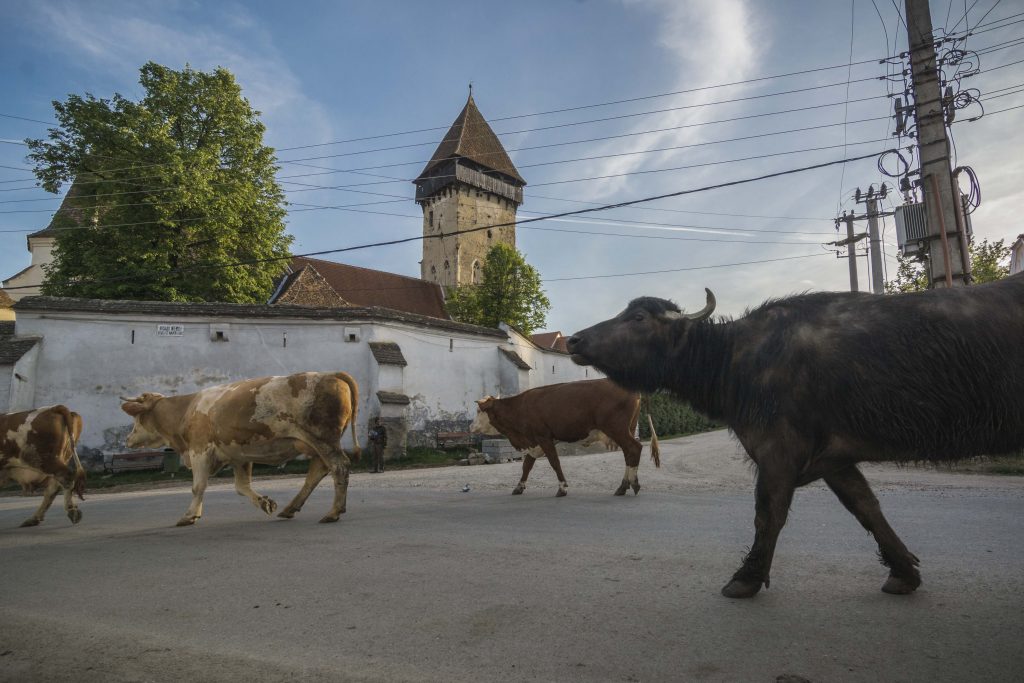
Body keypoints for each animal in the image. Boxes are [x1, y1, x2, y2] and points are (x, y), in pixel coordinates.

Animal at [120, 374, 362, 528]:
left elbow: (198, 486)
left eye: (137, 418)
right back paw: (290, 508)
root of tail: (330, 375)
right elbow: (241, 486)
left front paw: (189, 516)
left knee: (339, 467)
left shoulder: (200, 449)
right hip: (315, 443)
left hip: (323, 439)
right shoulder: (239, 456)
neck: (187, 409)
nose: (128, 439)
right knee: (317, 472)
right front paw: (265, 502)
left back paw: (333, 512)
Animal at [468, 378, 659, 497]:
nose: (470, 427)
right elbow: (526, 466)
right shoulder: (534, 442)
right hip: (628, 429)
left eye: (478, 410)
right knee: (629, 454)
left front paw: (562, 488)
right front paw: (519, 487)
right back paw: (624, 486)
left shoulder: (543, 437)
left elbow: (554, 462)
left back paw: (631, 484)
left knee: (634, 449)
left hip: (617, 429)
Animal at [569, 272, 1024, 598]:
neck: (735, 359)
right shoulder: (835, 459)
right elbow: (867, 508)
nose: (573, 339)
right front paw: (903, 572)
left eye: (638, 318)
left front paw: (746, 578)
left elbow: (768, 514)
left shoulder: (778, 450)